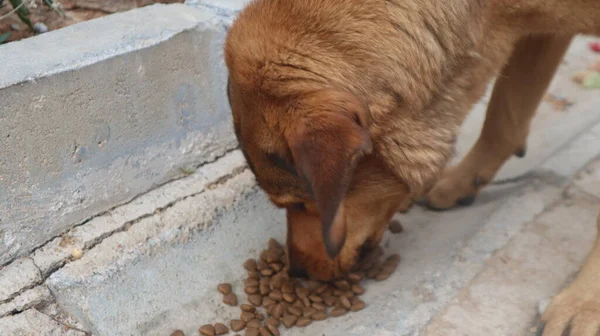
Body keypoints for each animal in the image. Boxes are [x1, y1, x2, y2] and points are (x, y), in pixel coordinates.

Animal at [224, 0, 600, 334]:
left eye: (301, 204)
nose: (298, 273)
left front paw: (583, 306)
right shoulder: (534, 29)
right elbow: (503, 118)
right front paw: (463, 180)